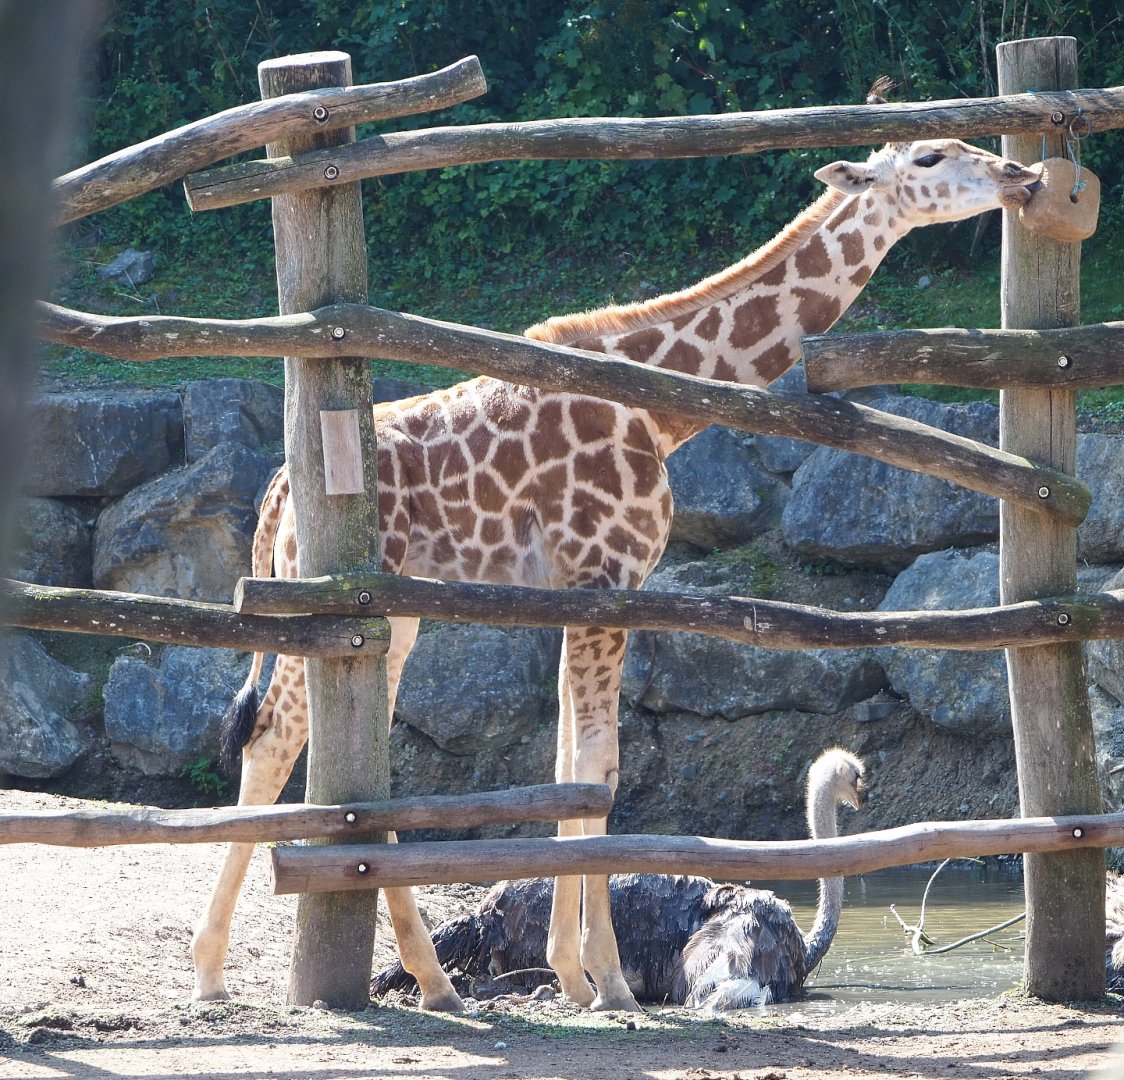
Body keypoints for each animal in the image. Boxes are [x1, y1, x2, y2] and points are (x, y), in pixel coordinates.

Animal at [191, 136, 1040, 1012]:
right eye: (931, 156)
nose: (1021, 175)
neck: (661, 407)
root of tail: (278, 491)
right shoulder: (607, 573)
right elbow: (601, 763)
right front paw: (606, 980)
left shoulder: (576, 589)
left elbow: (570, 761)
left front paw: (574, 971)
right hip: (336, 604)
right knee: (275, 738)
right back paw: (215, 967)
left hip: (394, 614)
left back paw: (433, 982)